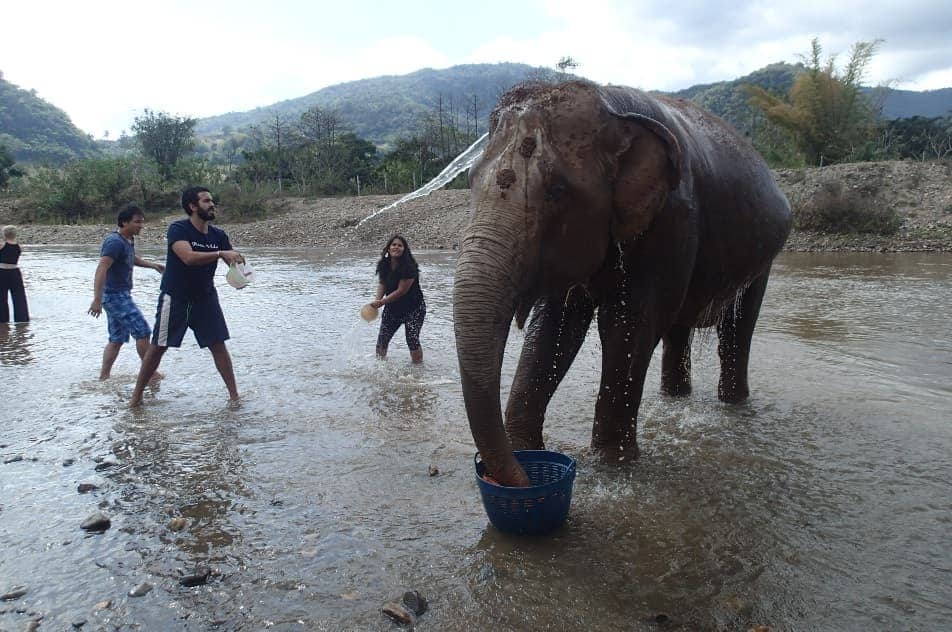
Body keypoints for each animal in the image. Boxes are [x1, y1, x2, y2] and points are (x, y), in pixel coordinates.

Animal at [452, 79, 788, 486]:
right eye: (470, 181)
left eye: (556, 191)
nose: (520, 478)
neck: (610, 104)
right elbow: (554, 329)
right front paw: (526, 448)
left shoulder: (672, 218)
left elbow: (629, 325)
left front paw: (612, 465)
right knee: (679, 328)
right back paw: (676, 399)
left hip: (762, 258)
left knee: (737, 328)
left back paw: (733, 405)